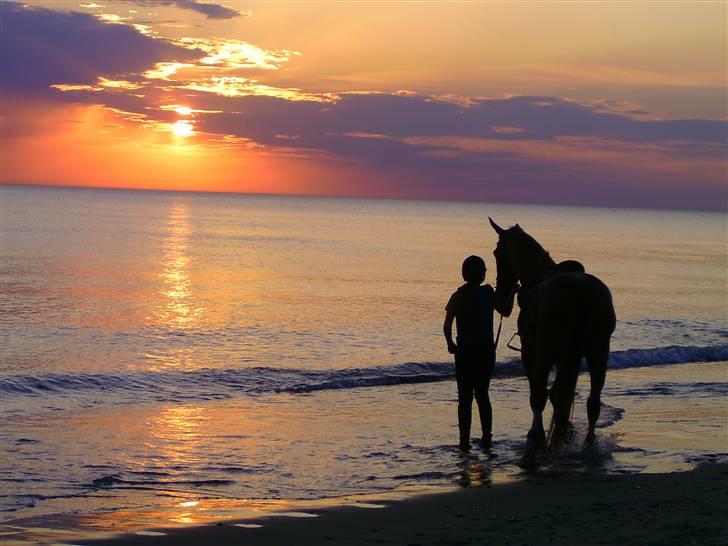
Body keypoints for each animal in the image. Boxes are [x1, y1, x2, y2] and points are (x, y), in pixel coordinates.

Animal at [490, 216, 616, 464]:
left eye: (497, 253)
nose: (500, 302)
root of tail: (580, 294)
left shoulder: (531, 352)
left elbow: (539, 395)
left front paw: (539, 436)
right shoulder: (564, 357)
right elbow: (558, 397)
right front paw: (564, 431)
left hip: (546, 352)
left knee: (540, 396)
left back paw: (534, 444)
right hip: (598, 352)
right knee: (592, 402)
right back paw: (588, 446)